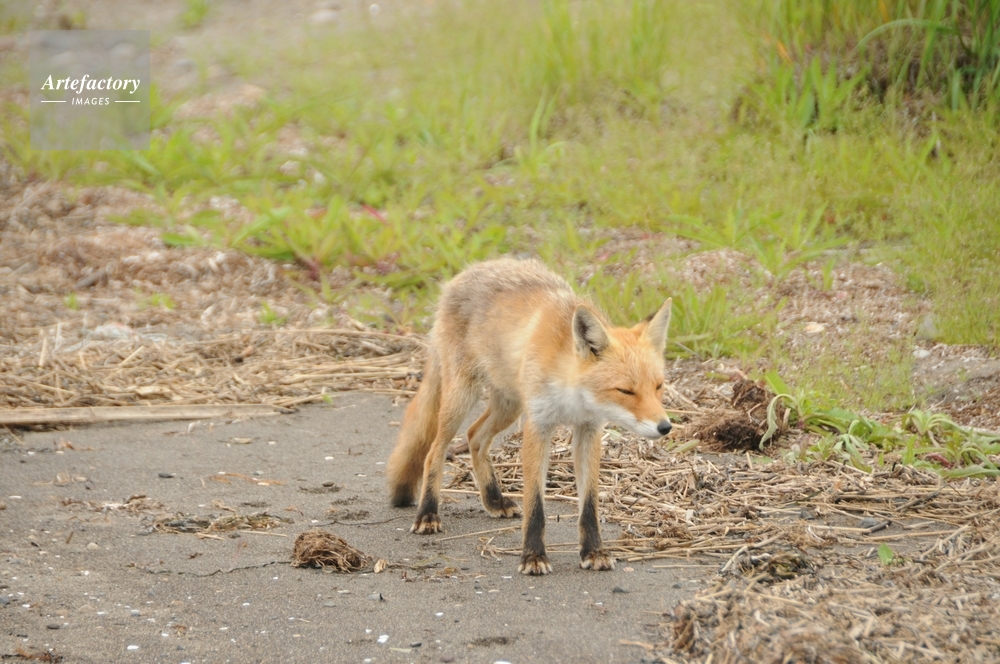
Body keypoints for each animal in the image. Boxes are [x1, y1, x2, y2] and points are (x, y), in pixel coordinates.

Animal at [386, 258, 673, 575]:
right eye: (625, 391)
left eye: (658, 386)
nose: (665, 427)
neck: (571, 398)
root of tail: (468, 270)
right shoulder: (538, 425)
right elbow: (535, 503)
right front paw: (533, 556)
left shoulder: (589, 429)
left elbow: (589, 504)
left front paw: (593, 551)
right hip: (462, 398)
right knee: (433, 451)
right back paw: (427, 513)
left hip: (509, 406)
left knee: (475, 436)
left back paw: (493, 500)